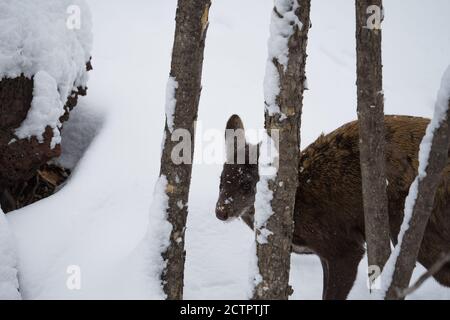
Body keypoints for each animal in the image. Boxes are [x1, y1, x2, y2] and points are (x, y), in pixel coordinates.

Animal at [215, 114, 450, 300]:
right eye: (222, 179)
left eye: (247, 184)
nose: (220, 212)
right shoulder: (324, 253)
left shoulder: (342, 243)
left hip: (410, 220)